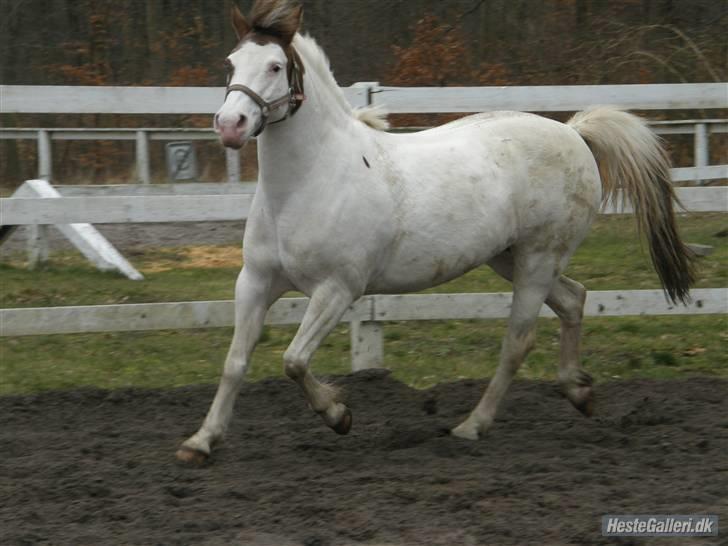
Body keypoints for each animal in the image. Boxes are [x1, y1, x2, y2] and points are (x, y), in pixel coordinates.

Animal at [176, 0, 692, 464]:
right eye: (231, 63)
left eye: (276, 65)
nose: (230, 125)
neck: (308, 182)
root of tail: (575, 133)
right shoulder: (256, 282)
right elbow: (235, 363)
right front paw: (200, 442)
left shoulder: (337, 289)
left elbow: (294, 361)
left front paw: (339, 414)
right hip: (510, 258)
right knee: (574, 299)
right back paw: (579, 392)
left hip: (538, 259)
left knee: (518, 341)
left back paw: (472, 426)